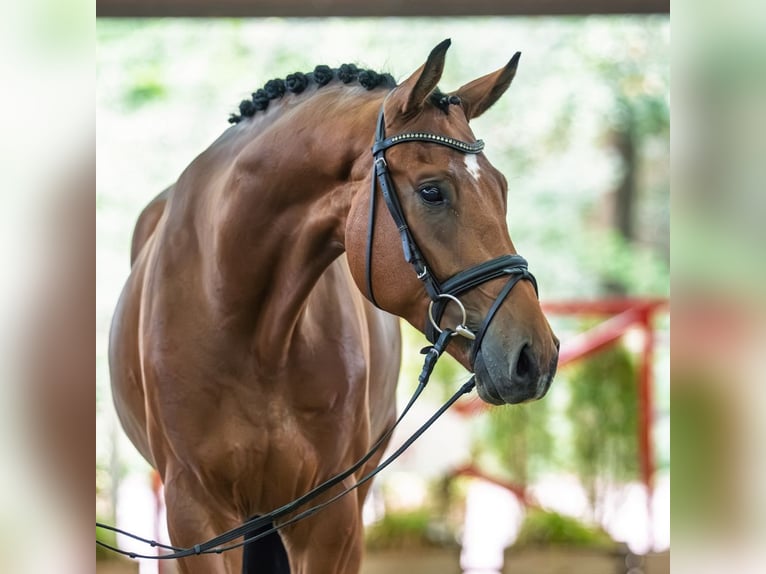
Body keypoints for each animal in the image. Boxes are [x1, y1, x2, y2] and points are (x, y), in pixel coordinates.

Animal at [108, 39, 559, 574]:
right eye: (432, 191)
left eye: (501, 189)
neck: (251, 331)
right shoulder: (195, 515)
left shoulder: (330, 512)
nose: (536, 355)